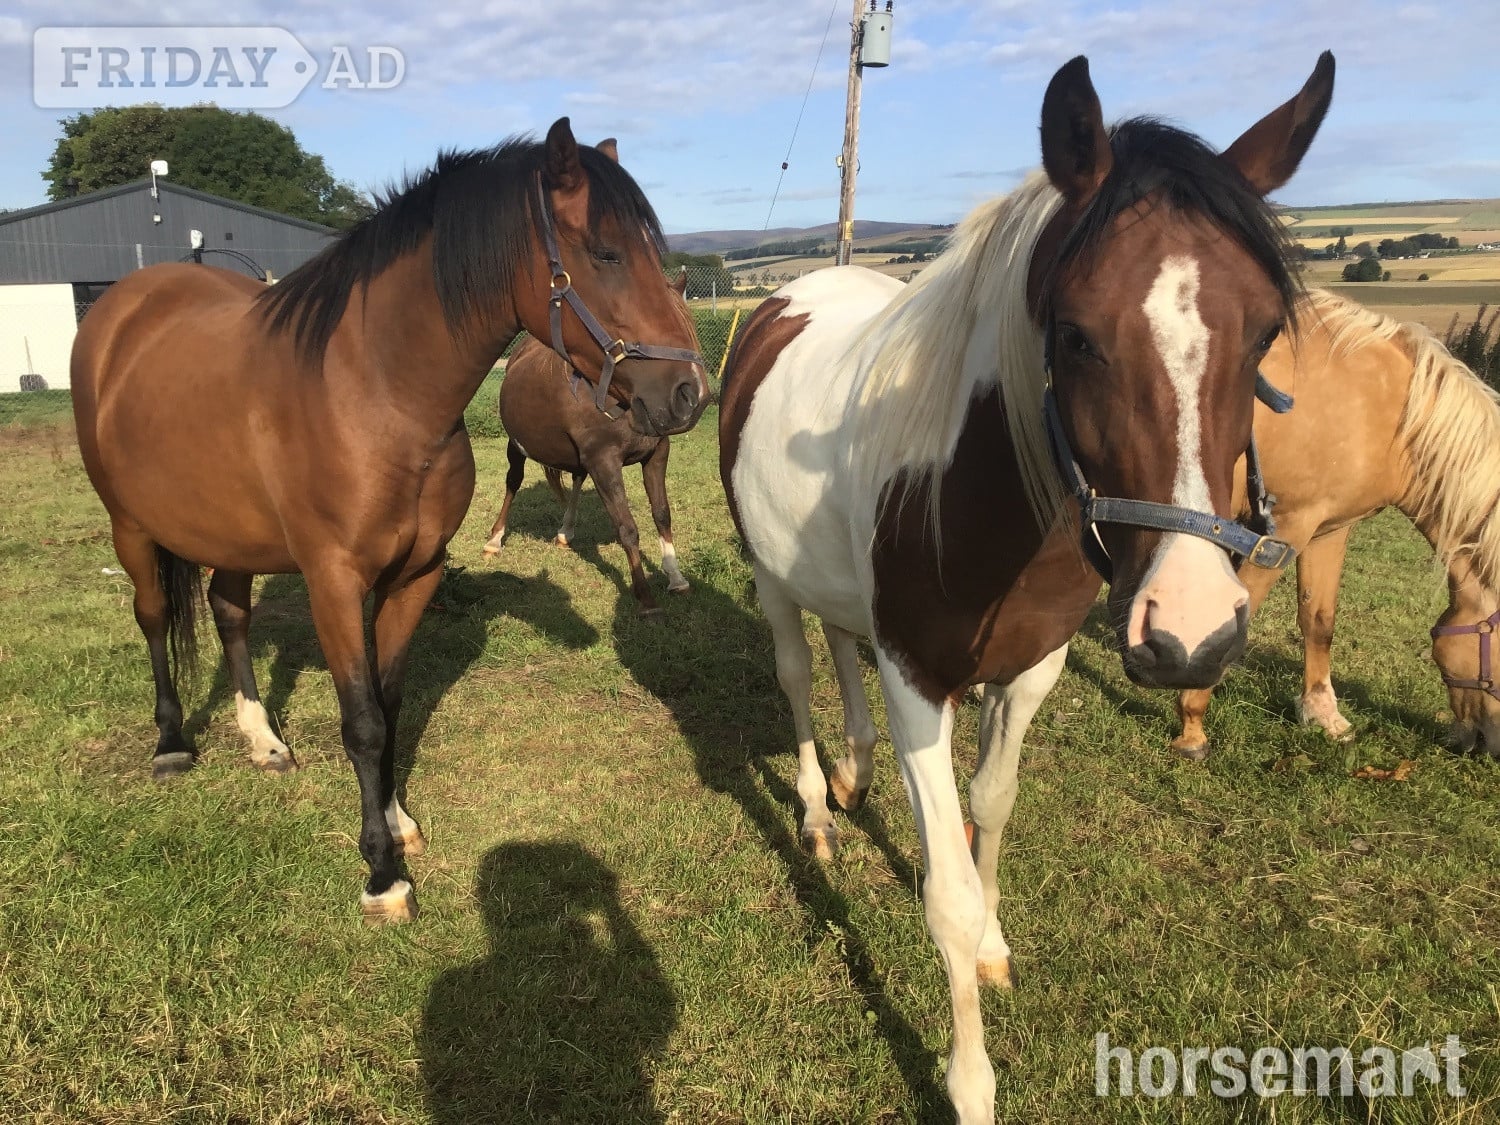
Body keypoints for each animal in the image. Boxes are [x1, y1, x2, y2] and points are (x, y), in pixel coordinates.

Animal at [481, 277, 695, 615]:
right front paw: (645, 597)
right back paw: (494, 540)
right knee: (513, 482)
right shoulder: (604, 460)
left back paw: (565, 533)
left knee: (577, 479)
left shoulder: (657, 454)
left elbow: (662, 513)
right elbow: (627, 527)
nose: (688, 397)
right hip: (516, 445)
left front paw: (675, 577)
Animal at [719, 53, 1334, 1124]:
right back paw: (818, 811)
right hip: (768, 578)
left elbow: (992, 811)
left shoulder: (1032, 669)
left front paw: (998, 946)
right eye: (1077, 335)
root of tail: (786, 298)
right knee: (798, 675)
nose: (1192, 634)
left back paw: (856, 772)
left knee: (840, 649)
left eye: (1264, 333)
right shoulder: (919, 681)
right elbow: (947, 895)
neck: (975, 490)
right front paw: (970, 1083)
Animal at [1169, 289, 1500, 759]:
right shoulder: (1285, 530)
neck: (1385, 410)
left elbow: (1319, 619)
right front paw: (1192, 724)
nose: (1486, 746)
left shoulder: (1328, 529)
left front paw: (1322, 712)